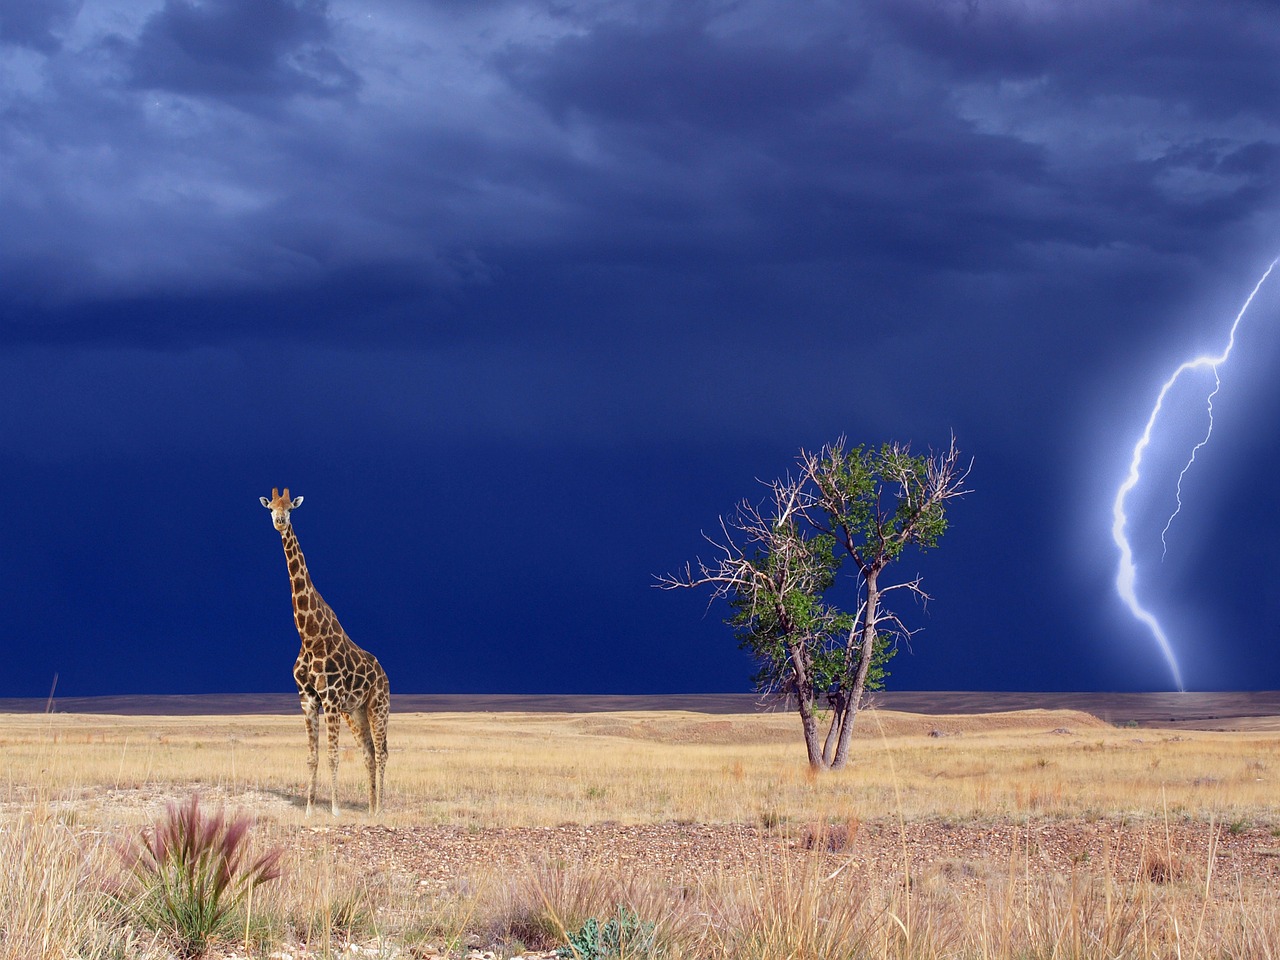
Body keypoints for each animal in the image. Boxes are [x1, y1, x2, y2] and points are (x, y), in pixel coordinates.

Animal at [254, 491, 384, 814]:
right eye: (270, 508)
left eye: (290, 508)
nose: (280, 521)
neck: (309, 635)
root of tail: (384, 672)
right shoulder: (308, 699)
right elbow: (312, 757)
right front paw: (311, 809)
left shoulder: (331, 698)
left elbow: (333, 755)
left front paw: (335, 810)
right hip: (356, 711)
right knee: (369, 752)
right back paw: (371, 808)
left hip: (378, 705)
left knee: (383, 751)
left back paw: (381, 807)